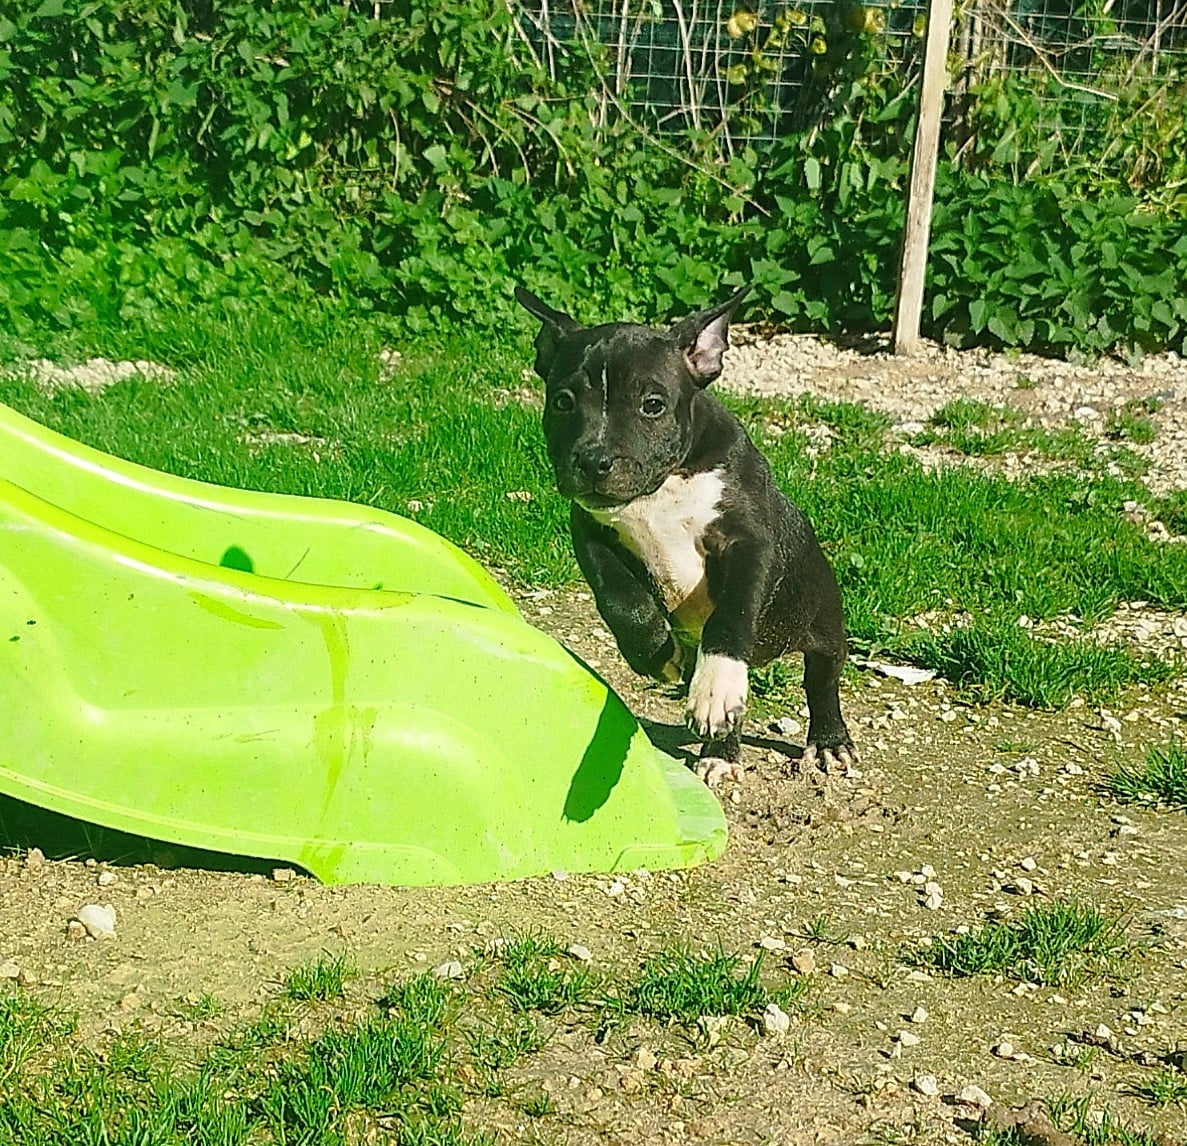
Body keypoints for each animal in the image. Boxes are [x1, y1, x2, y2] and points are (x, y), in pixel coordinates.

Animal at [515, 285, 856, 785]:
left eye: (652, 404)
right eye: (562, 402)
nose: (594, 460)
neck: (660, 489)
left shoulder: (749, 542)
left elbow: (731, 615)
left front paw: (716, 684)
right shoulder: (592, 532)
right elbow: (620, 600)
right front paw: (654, 654)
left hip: (822, 618)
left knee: (822, 678)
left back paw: (828, 741)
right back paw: (721, 750)